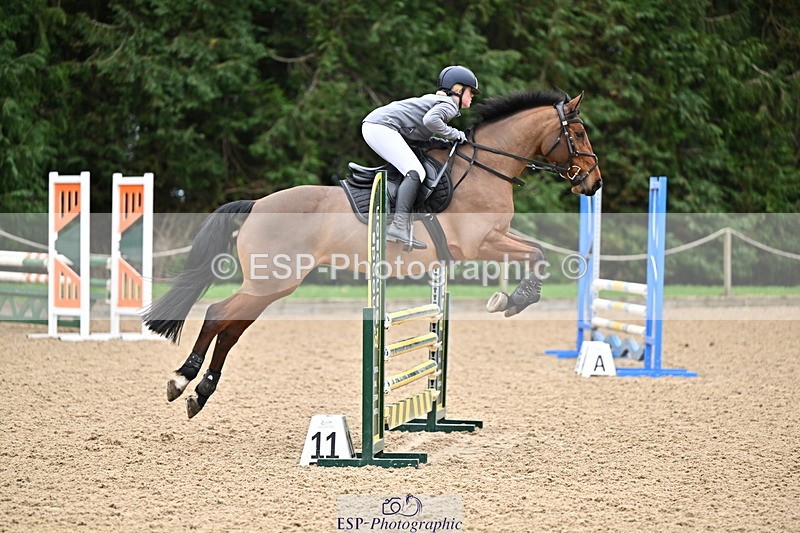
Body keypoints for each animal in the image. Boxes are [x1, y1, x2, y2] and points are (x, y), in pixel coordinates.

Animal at [145, 89, 602, 418]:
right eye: (578, 134)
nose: (594, 183)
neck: (485, 168)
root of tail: (256, 204)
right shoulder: (483, 243)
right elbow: (538, 254)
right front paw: (512, 300)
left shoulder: (494, 239)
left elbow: (537, 252)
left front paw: (512, 298)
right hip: (271, 281)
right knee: (217, 314)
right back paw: (182, 380)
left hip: (271, 286)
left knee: (232, 328)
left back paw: (200, 392)